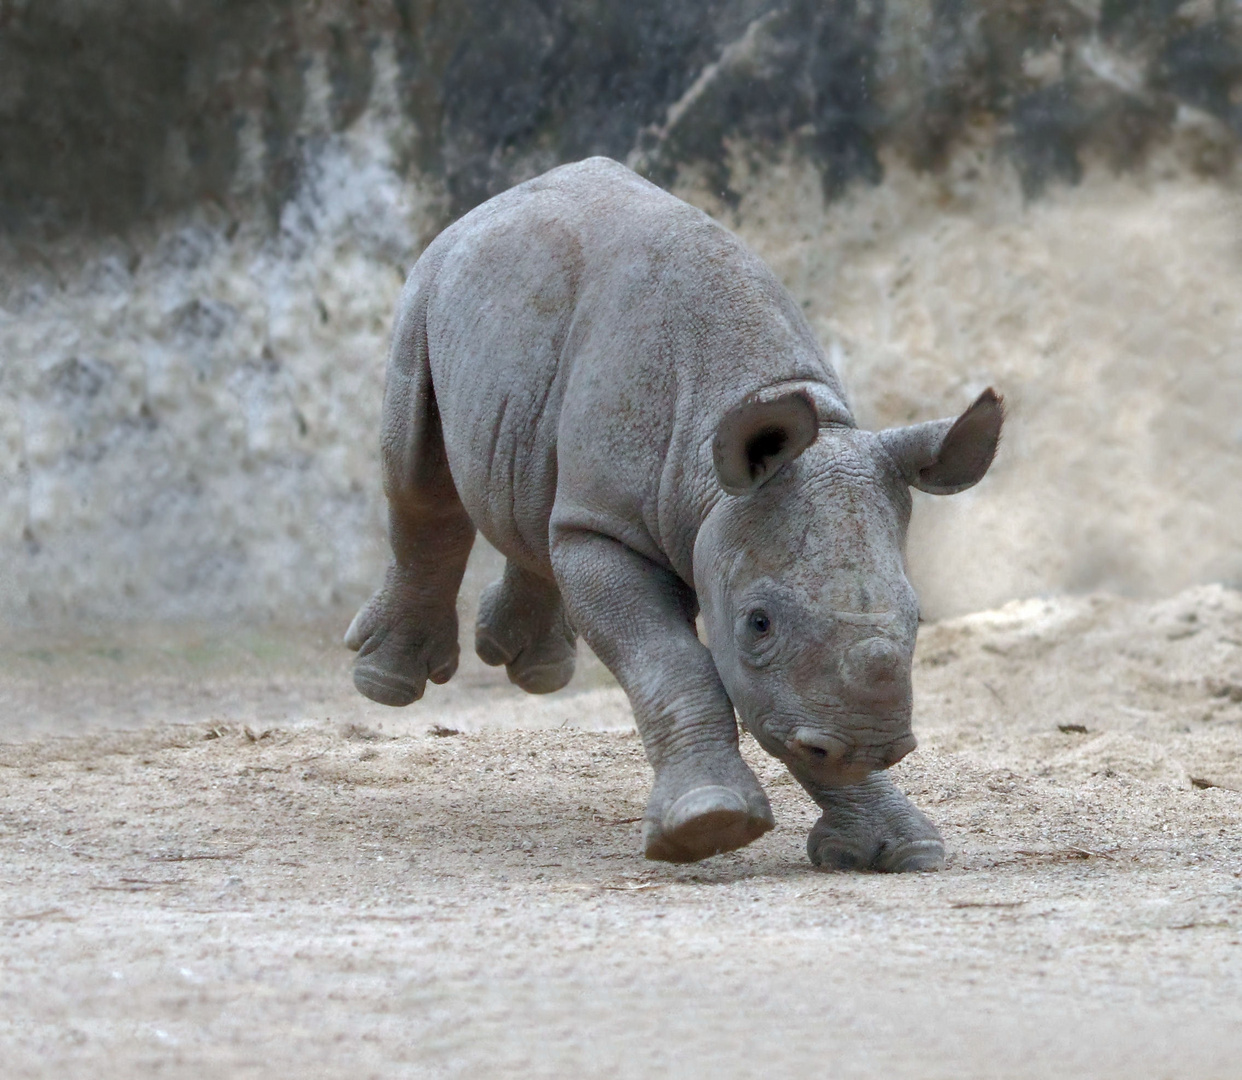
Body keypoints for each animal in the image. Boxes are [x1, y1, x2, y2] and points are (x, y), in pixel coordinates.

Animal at [345, 158, 1003, 868]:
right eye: (757, 624)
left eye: (919, 617)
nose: (868, 744)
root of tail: (497, 202)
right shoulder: (611, 528)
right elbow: (671, 659)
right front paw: (706, 826)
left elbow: (779, 706)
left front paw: (896, 848)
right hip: (429, 286)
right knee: (417, 475)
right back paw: (384, 682)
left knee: (538, 503)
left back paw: (534, 668)